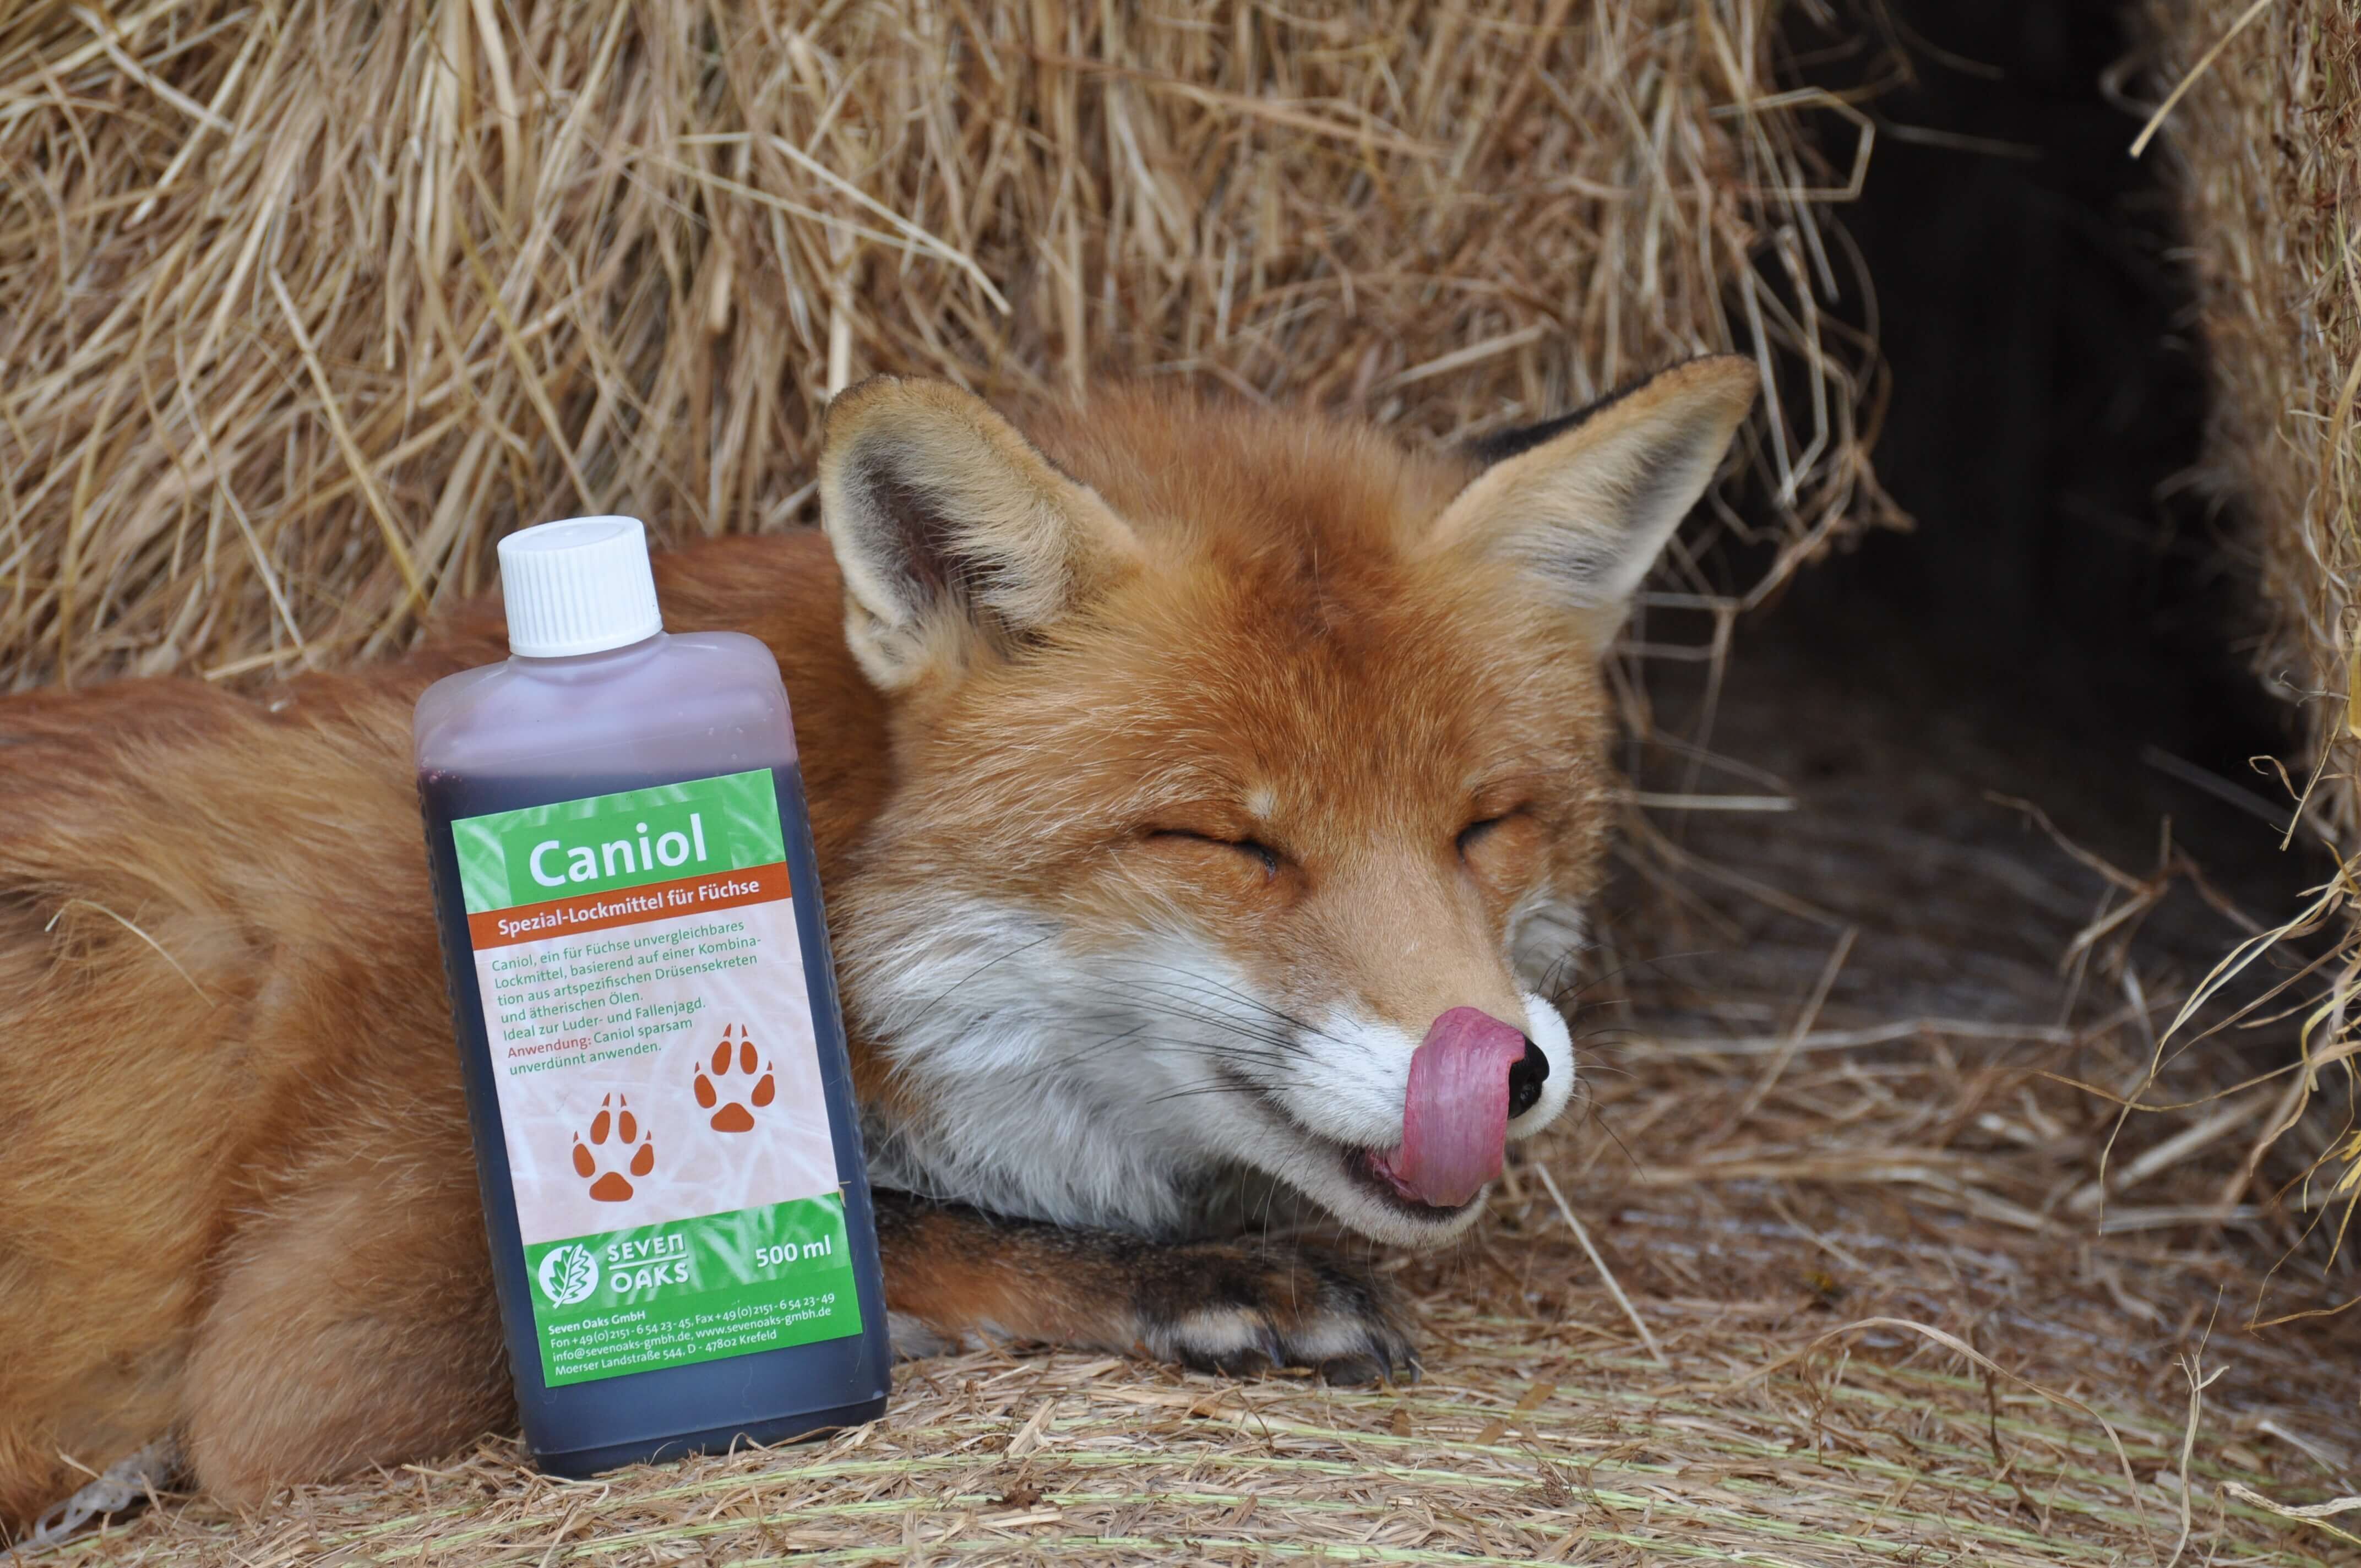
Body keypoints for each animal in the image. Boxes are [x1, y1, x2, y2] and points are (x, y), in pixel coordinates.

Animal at [0, 357, 1756, 1535]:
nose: (1501, 1067)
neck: (825, 868)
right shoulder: (316, 1343)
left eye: (1487, 822)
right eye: (1229, 842)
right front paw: (1197, 1279)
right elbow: (888, 1222)